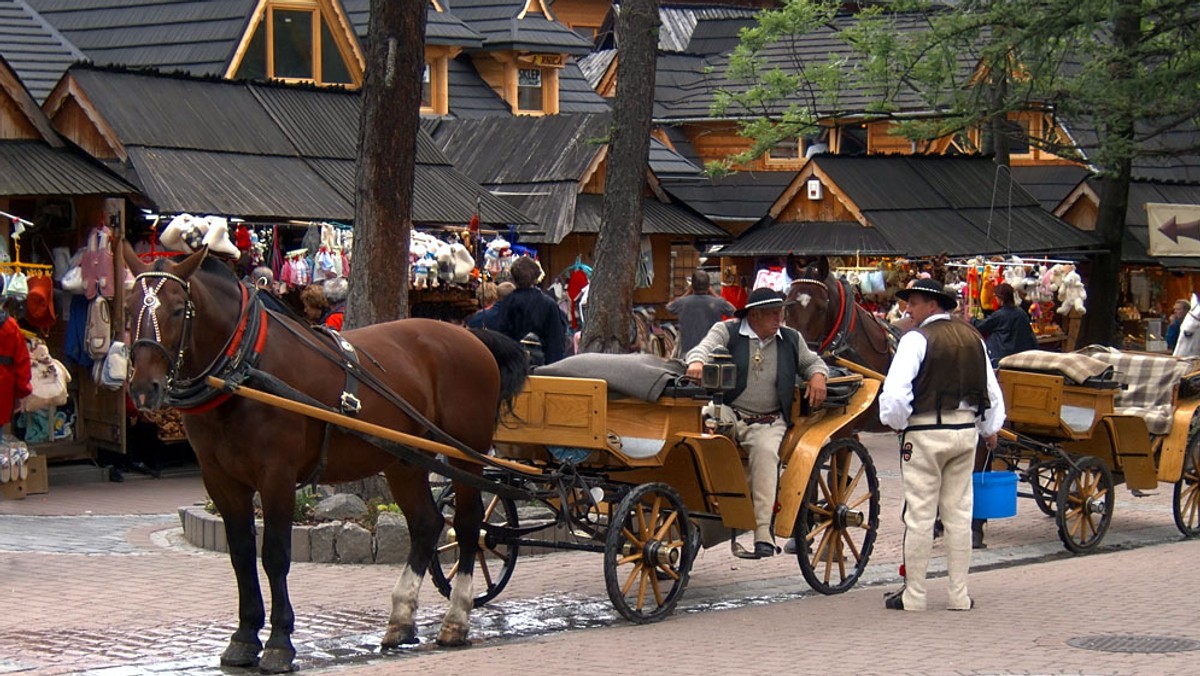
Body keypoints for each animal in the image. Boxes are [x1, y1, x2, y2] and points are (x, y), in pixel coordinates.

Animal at [120, 246, 525, 672]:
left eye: (178, 308)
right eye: (128, 306)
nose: (144, 388)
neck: (245, 369)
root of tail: (470, 335)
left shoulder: (277, 476)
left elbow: (274, 556)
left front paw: (279, 643)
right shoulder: (221, 481)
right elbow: (242, 556)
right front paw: (244, 638)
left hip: (464, 456)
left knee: (467, 526)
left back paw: (456, 618)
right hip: (405, 460)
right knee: (426, 524)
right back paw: (401, 620)